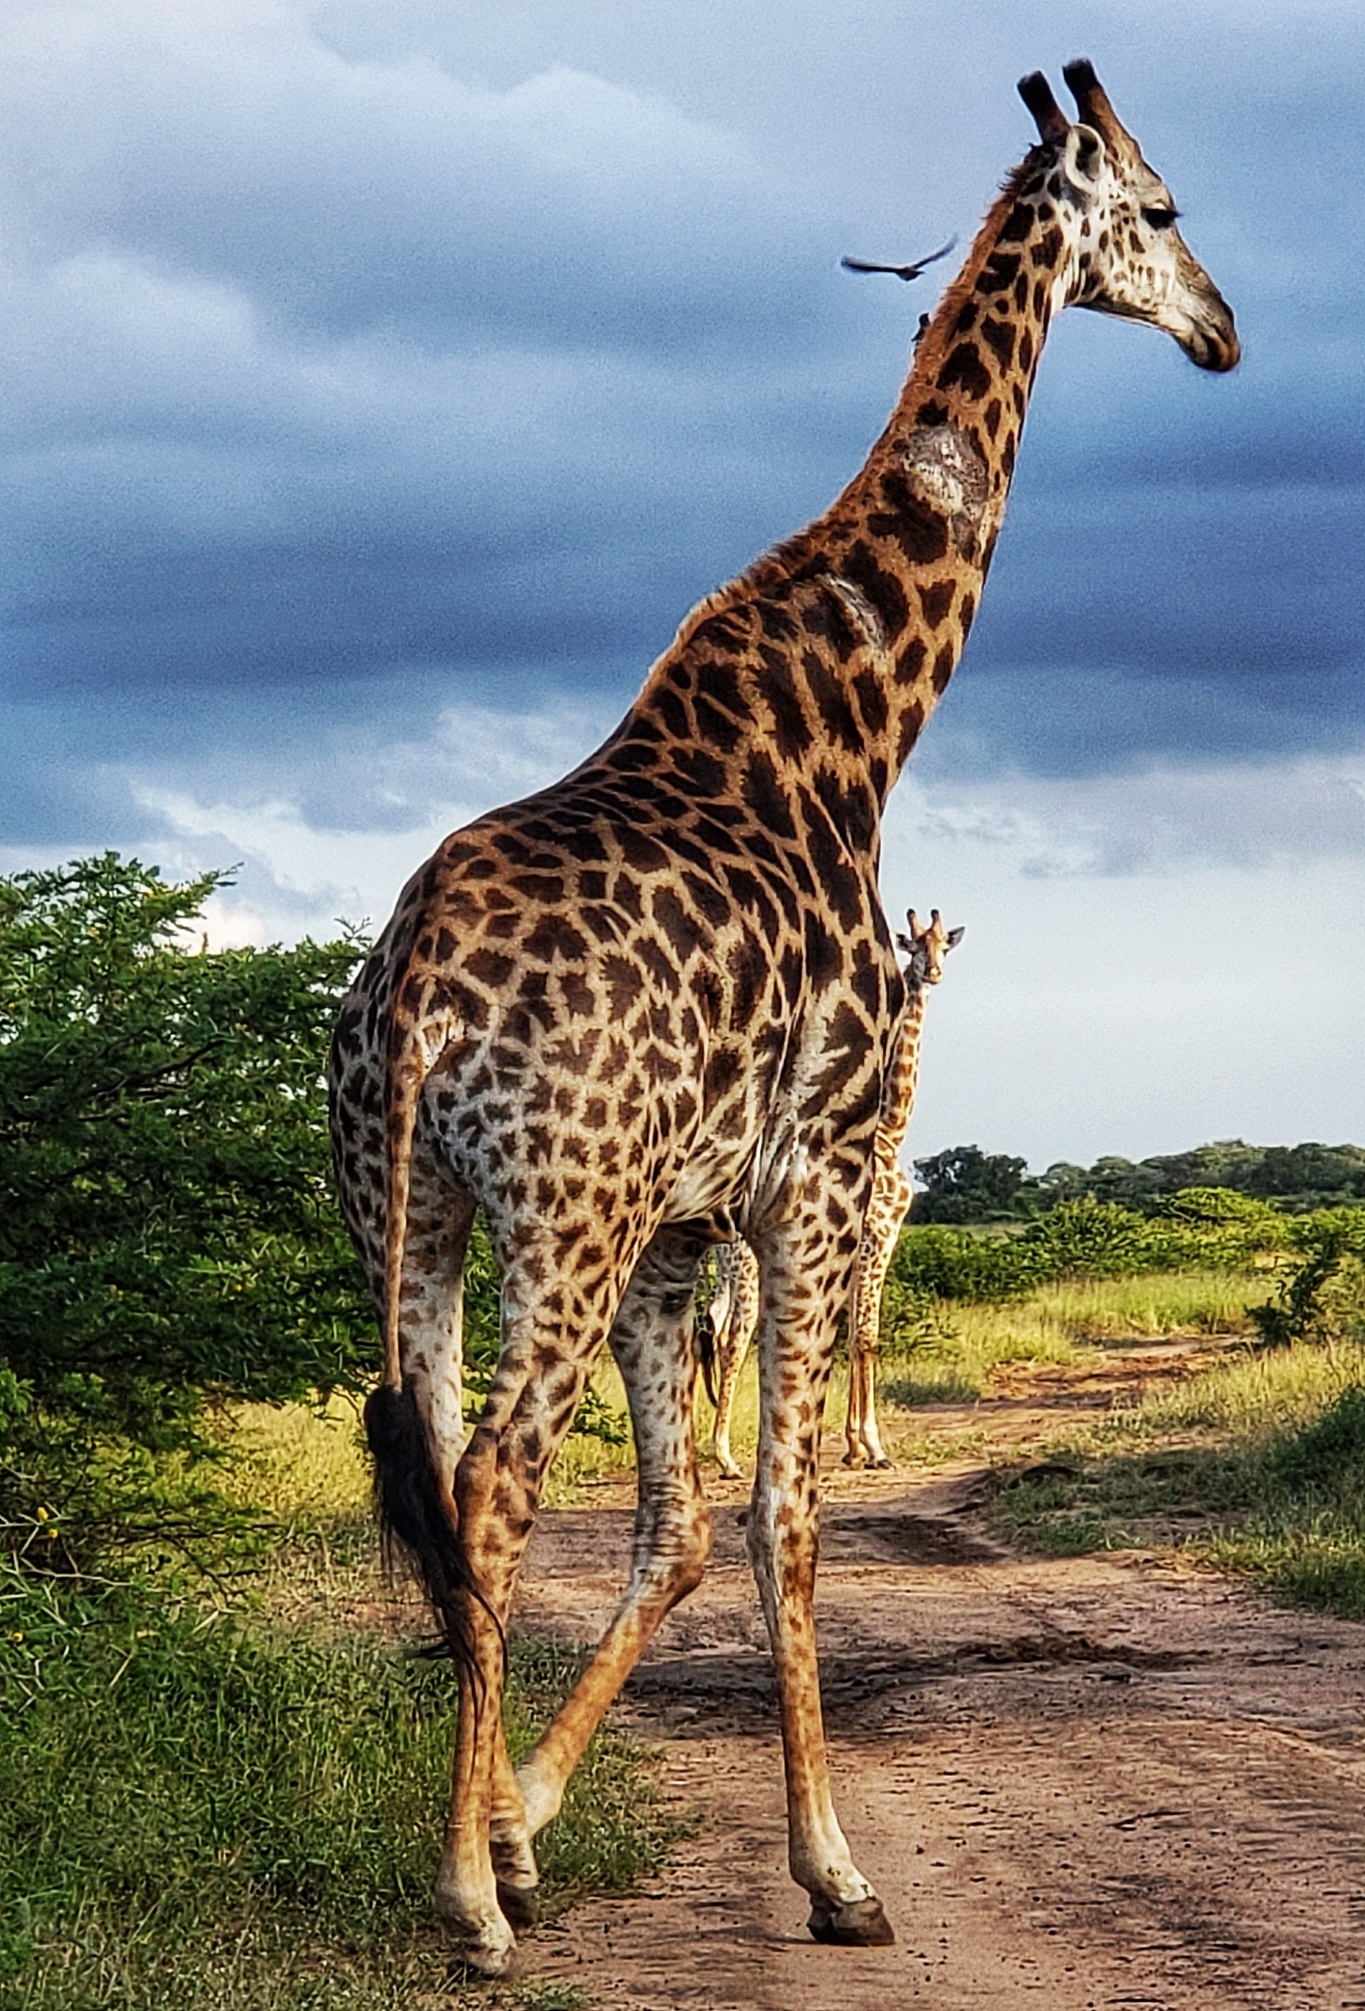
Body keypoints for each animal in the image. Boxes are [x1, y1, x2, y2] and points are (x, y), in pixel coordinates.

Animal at [698, 906, 961, 1478]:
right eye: (914, 946)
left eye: (944, 947)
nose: (931, 973)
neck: (891, 1128)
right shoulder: (879, 1237)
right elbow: (865, 1336)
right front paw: (871, 1446)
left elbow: (847, 1336)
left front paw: (852, 1444)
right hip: (748, 1265)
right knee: (733, 1335)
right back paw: (725, 1455)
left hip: (721, 1265)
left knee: (708, 1325)